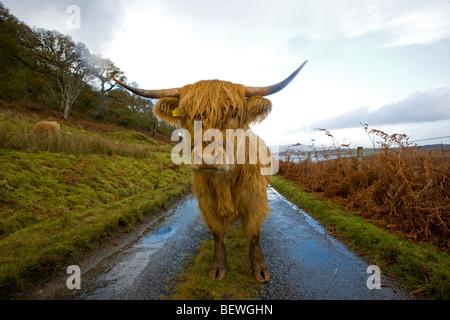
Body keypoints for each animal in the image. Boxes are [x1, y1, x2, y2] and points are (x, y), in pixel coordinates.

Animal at [114, 61, 308, 282]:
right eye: (187, 115)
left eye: (234, 113)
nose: (207, 156)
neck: (225, 182)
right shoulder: (207, 204)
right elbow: (217, 234)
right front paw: (218, 267)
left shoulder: (256, 201)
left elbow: (254, 234)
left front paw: (259, 268)